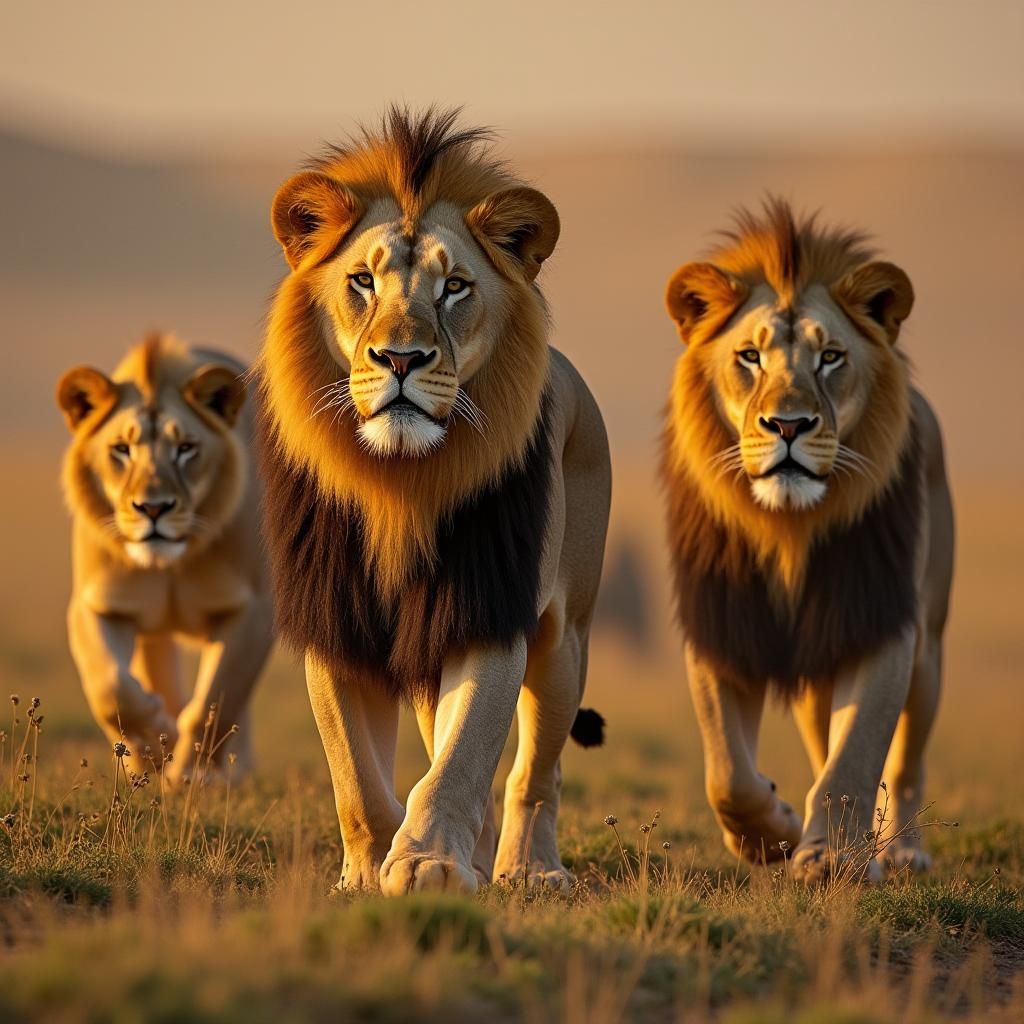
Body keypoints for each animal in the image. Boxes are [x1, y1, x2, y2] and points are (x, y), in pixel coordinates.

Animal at [57, 333, 274, 778]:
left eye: (186, 448)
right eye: (121, 449)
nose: (153, 508)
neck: (168, 564)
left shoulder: (253, 609)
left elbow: (218, 699)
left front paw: (196, 775)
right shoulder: (98, 604)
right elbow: (110, 686)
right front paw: (155, 740)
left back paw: (232, 769)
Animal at [257, 107, 611, 895]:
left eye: (455, 288)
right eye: (362, 280)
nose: (400, 359)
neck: (399, 482)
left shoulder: (487, 608)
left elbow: (462, 757)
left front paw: (428, 863)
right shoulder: (336, 618)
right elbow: (356, 774)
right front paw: (368, 870)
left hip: (564, 637)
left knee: (536, 772)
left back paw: (528, 868)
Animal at [660, 199, 954, 878]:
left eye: (831, 358)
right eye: (750, 357)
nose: (789, 425)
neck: (788, 528)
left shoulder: (882, 623)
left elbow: (856, 759)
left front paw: (831, 857)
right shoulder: (722, 625)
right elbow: (727, 773)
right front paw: (772, 834)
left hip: (929, 650)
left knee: (906, 762)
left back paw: (902, 851)